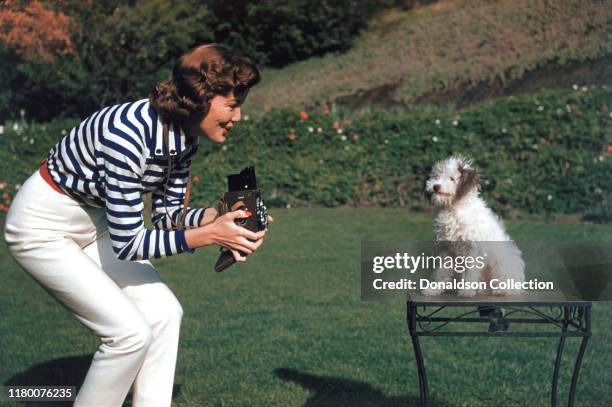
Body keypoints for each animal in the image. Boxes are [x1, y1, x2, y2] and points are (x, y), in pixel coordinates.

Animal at [424, 155, 524, 296]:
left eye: (452, 178)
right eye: (436, 176)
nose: (436, 186)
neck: (454, 208)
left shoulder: (473, 249)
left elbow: (470, 273)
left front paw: (467, 290)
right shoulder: (446, 249)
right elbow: (441, 272)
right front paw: (433, 289)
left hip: (501, 264)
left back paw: (501, 290)